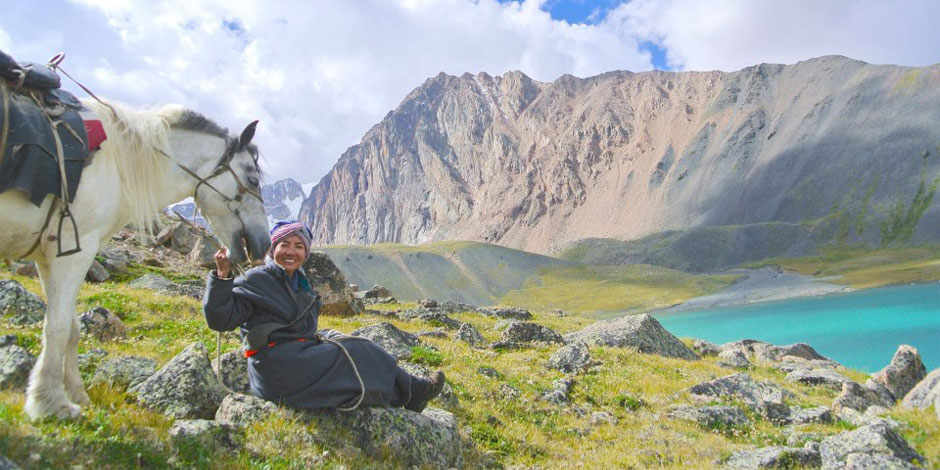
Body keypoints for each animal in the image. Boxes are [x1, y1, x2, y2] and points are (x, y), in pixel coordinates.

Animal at [0, 99, 270, 418]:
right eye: (252, 179)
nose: (265, 242)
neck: (118, 162)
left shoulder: (49, 254)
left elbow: (70, 326)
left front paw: (76, 394)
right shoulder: (75, 247)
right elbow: (58, 326)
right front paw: (51, 402)